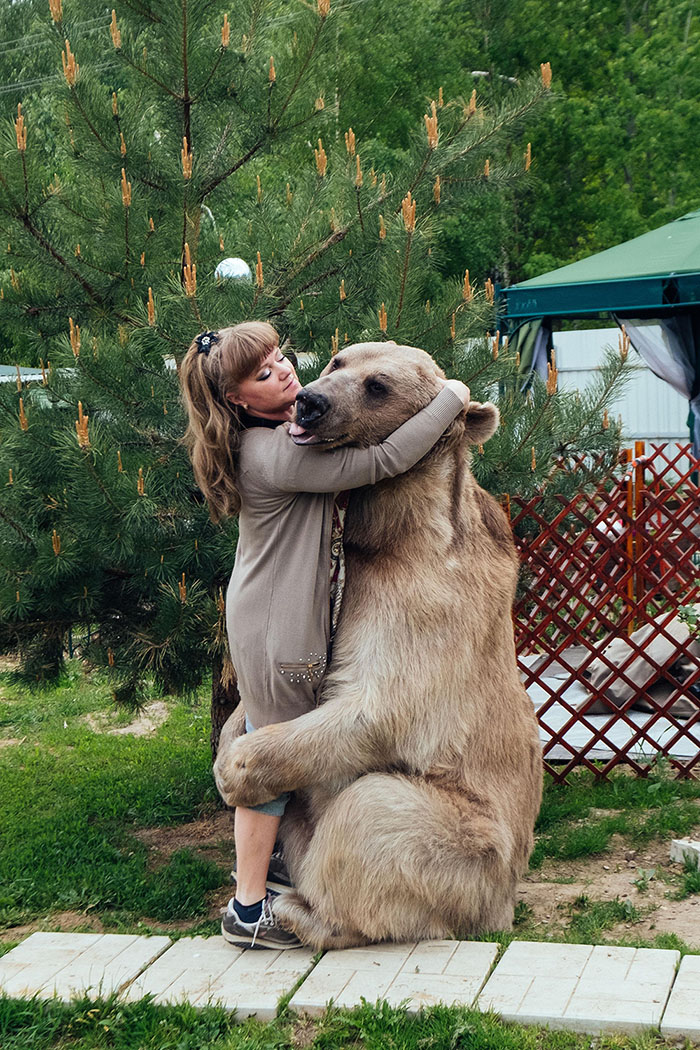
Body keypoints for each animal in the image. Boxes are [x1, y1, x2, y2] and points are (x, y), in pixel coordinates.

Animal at [216, 340, 545, 949]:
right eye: (337, 361)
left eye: (379, 386)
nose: (309, 402)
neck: (392, 533)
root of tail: (501, 908)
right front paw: (231, 735)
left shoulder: (428, 603)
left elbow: (379, 708)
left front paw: (234, 767)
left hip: (471, 848)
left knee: (372, 811)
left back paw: (298, 909)